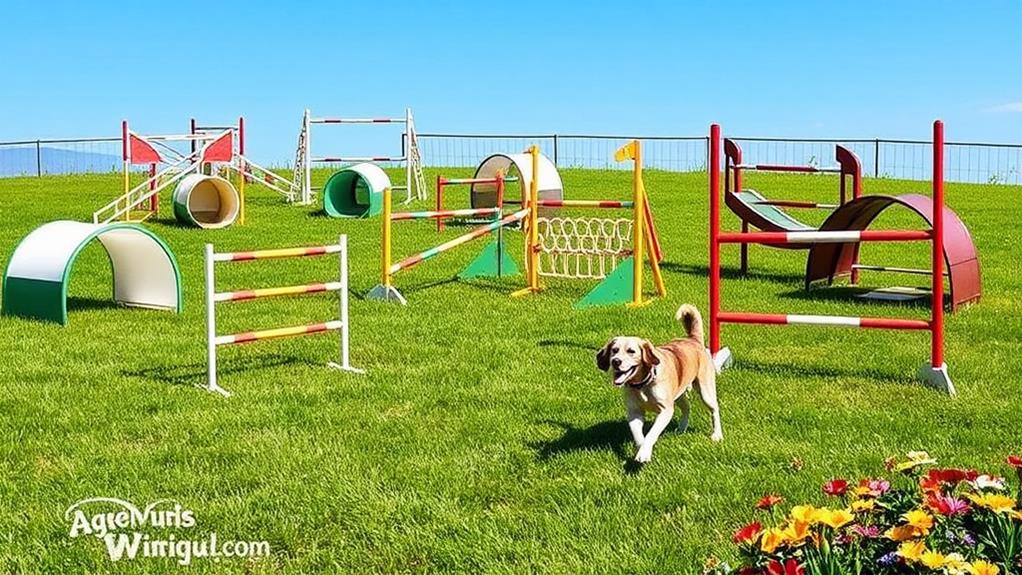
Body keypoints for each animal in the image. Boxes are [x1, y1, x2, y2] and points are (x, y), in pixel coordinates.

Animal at [596, 306, 723, 463]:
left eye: (631, 351)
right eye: (614, 350)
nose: (615, 361)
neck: (643, 385)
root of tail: (693, 340)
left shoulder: (665, 410)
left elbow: (652, 433)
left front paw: (644, 453)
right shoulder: (634, 413)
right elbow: (639, 436)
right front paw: (641, 449)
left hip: (705, 391)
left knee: (714, 409)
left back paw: (717, 435)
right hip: (678, 394)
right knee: (687, 407)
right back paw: (681, 428)